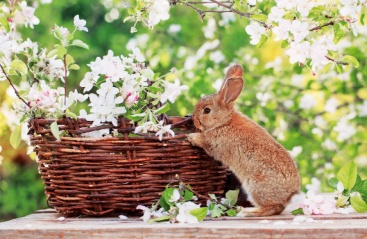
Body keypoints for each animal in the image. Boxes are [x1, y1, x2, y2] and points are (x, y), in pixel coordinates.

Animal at [190, 65, 302, 217]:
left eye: (207, 111)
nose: (194, 120)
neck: (224, 121)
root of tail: (291, 193)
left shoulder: (215, 143)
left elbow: (204, 141)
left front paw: (191, 137)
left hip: (255, 186)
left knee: (274, 207)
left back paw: (249, 211)